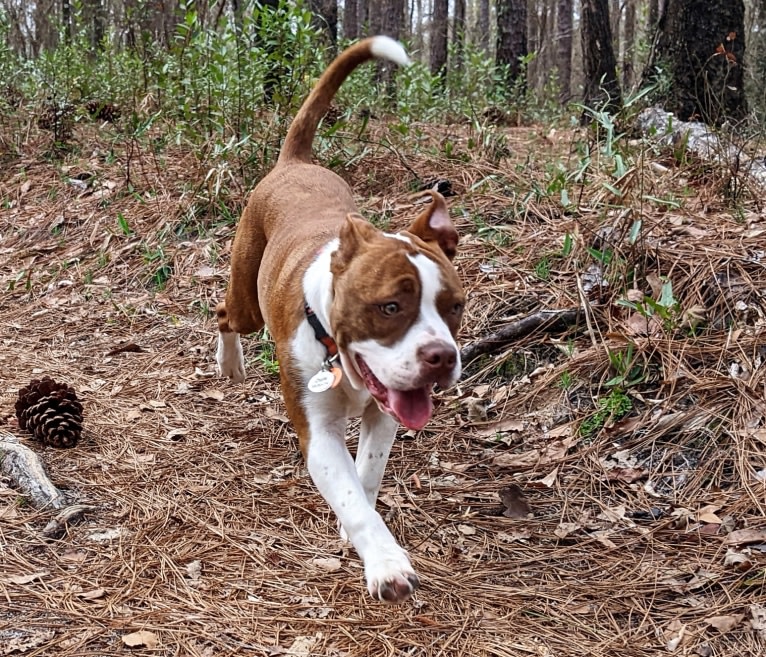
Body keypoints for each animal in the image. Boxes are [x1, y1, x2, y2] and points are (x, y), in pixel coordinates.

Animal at [218, 34, 468, 600]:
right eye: (390, 307)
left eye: (454, 307)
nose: (442, 357)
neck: (340, 356)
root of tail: (294, 163)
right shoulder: (319, 433)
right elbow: (355, 502)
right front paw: (386, 563)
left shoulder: (386, 414)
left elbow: (365, 479)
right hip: (246, 302)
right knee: (223, 313)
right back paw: (230, 364)